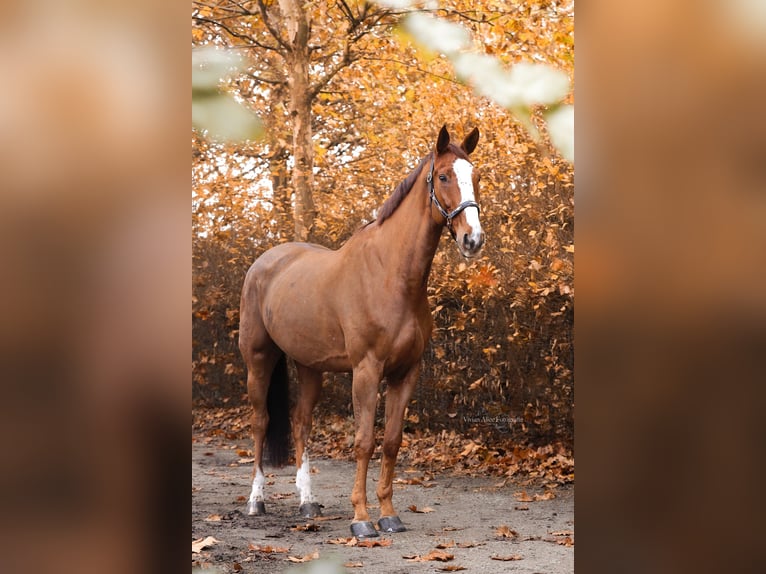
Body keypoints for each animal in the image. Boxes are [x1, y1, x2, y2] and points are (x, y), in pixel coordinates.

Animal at [238, 124, 484, 537]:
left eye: (476, 177)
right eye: (444, 176)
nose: (473, 239)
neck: (390, 275)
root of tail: (264, 262)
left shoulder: (406, 372)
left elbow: (391, 441)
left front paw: (389, 514)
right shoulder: (366, 370)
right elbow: (364, 441)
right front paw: (362, 519)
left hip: (310, 368)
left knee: (301, 423)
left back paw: (307, 502)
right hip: (259, 360)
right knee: (260, 422)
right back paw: (256, 501)